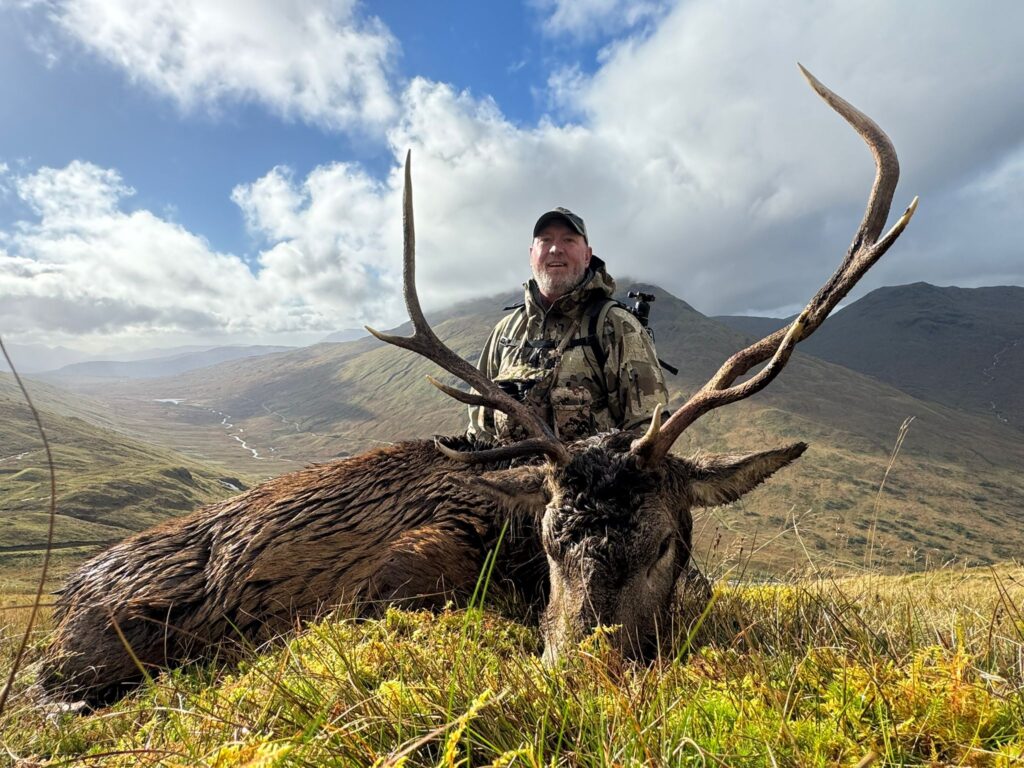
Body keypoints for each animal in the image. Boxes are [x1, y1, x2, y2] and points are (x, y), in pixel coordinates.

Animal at [37, 65, 915, 705]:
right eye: (552, 540)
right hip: (103, 645)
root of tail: (64, 593)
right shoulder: (392, 577)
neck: (515, 559)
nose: (576, 672)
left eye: (665, 540)